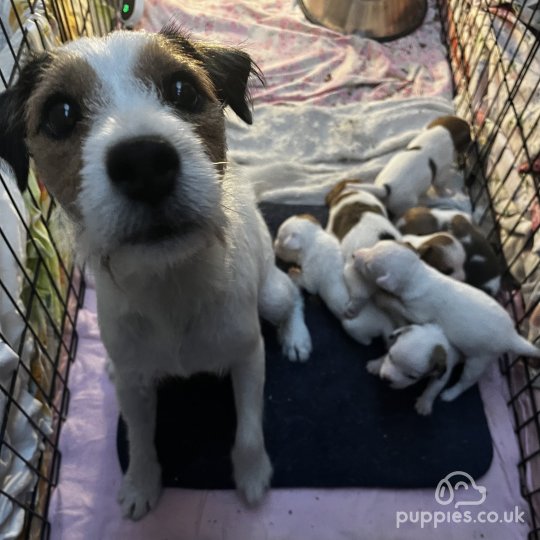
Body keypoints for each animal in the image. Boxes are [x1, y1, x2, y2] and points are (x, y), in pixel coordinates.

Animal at [0, 27, 312, 520]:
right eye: (60, 114)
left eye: (182, 89)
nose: (144, 163)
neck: (169, 283)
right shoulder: (135, 386)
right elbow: (139, 440)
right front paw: (141, 484)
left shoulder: (248, 357)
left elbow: (248, 430)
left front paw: (252, 473)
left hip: (270, 294)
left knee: (292, 295)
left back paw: (297, 338)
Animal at [354, 240, 540, 400]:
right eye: (373, 245)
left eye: (368, 267)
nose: (355, 254)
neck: (418, 275)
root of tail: (512, 336)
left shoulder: (417, 312)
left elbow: (396, 304)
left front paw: (381, 297)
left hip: (480, 360)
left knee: (466, 382)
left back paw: (450, 394)